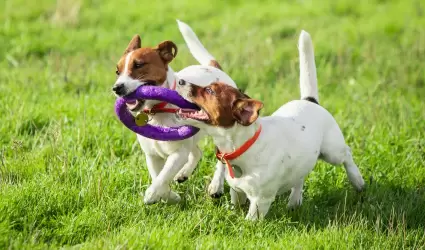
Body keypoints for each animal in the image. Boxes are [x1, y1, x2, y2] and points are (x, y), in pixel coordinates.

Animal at [112, 19, 237, 204]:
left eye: (139, 65)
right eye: (117, 71)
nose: (116, 88)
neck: (158, 111)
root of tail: (213, 68)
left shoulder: (178, 154)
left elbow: (163, 176)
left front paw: (151, 194)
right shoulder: (152, 155)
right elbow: (158, 176)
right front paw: (169, 196)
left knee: (222, 159)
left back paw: (216, 186)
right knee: (197, 152)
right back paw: (183, 174)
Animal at [174, 30, 366, 220]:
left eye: (210, 91)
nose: (180, 81)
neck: (242, 146)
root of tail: (310, 100)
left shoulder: (260, 201)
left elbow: (250, 221)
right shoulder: (237, 191)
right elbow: (236, 204)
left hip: (331, 151)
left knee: (347, 154)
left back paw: (358, 181)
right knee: (300, 177)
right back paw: (294, 201)